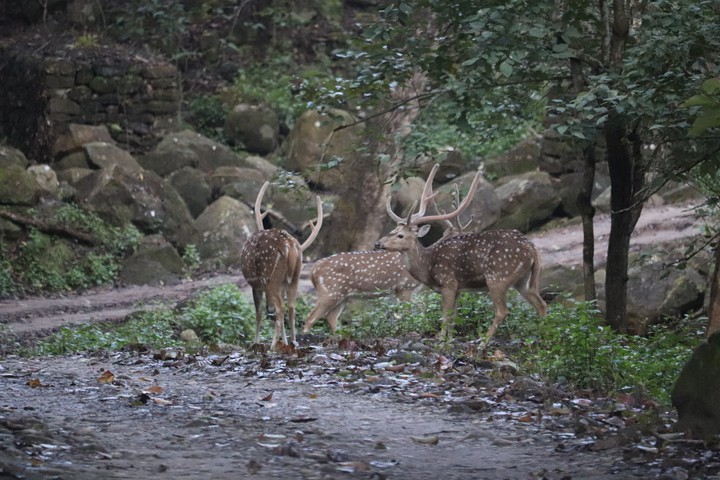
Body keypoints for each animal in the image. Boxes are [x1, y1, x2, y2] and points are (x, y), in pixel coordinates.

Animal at [240, 181, 323, 350]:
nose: (269, 309)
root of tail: (289, 245)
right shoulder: (283, 284)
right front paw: (284, 342)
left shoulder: (256, 285)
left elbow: (258, 313)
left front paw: (255, 343)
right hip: (295, 277)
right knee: (291, 307)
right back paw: (293, 343)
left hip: (270, 277)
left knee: (280, 308)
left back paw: (272, 346)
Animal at [302, 183, 471, 335]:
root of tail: (313, 271)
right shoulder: (404, 287)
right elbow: (407, 315)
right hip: (330, 292)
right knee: (310, 317)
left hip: (342, 296)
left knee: (330, 318)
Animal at [374, 164, 547, 347]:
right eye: (393, 230)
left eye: (400, 235)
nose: (377, 243)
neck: (428, 267)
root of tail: (532, 248)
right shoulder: (458, 288)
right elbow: (454, 316)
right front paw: (449, 339)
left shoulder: (448, 282)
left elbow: (445, 315)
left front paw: (440, 340)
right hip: (523, 279)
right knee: (541, 304)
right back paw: (543, 336)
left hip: (498, 275)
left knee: (503, 310)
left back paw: (482, 343)